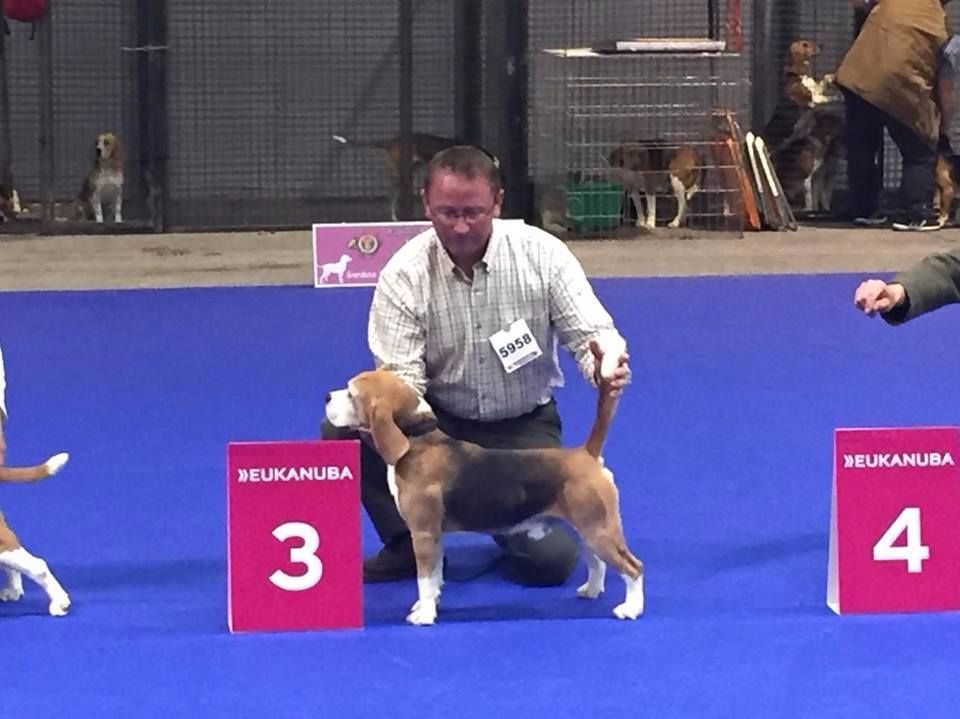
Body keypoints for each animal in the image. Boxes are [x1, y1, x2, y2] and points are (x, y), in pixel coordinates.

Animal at [324, 366, 644, 624]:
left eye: (351, 394)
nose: (327, 396)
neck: (415, 439)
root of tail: (585, 453)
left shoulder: (424, 533)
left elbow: (425, 578)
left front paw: (424, 614)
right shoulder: (434, 535)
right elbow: (435, 577)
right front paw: (430, 604)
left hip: (599, 530)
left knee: (633, 567)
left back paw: (631, 608)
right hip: (586, 530)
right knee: (597, 563)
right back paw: (591, 591)